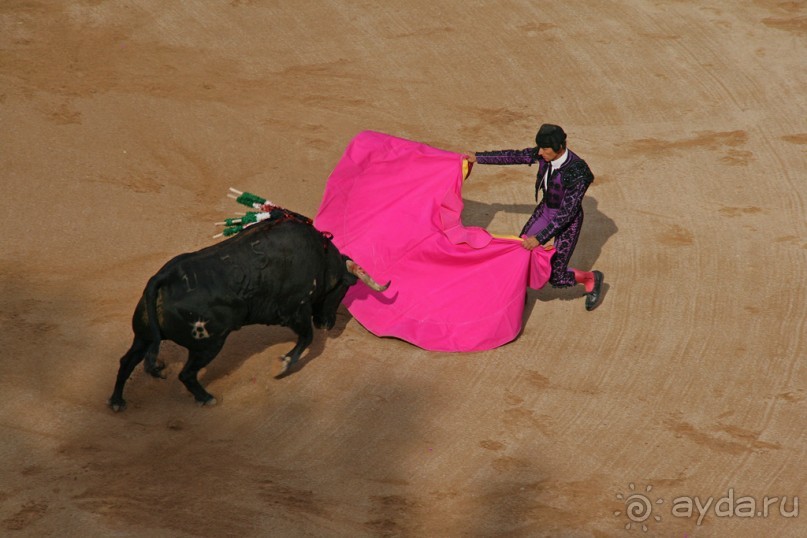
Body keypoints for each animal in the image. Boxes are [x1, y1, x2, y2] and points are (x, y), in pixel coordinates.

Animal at [108, 214, 388, 410]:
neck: (322, 256)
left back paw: (117, 401)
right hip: (208, 344)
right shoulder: (294, 309)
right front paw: (283, 365)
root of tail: (163, 278)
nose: (327, 324)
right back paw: (207, 398)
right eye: (344, 289)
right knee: (186, 374)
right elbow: (306, 338)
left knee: (127, 360)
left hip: (144, 335)